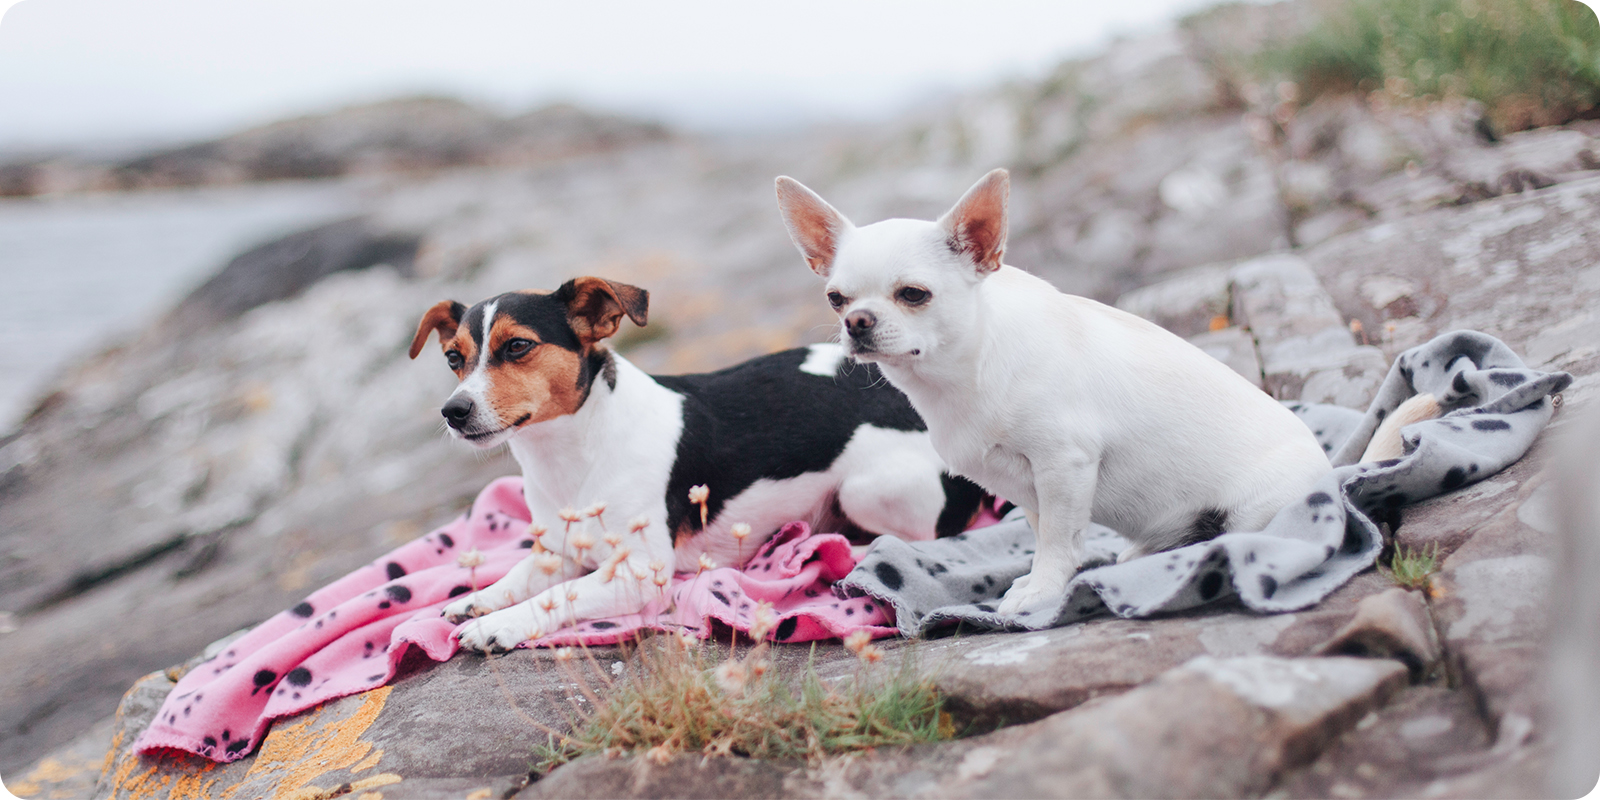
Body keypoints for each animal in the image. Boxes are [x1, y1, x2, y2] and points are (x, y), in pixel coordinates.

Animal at [409, 278, 985, 652]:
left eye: (518, 346)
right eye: (453, 358)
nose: (453, 411)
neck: (575, 450)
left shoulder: (641, 575)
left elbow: (559, 594)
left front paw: (499, 625)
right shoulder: (556, 550)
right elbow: (521, 576)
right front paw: (480, 600)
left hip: (866, 488)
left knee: (922, 536)